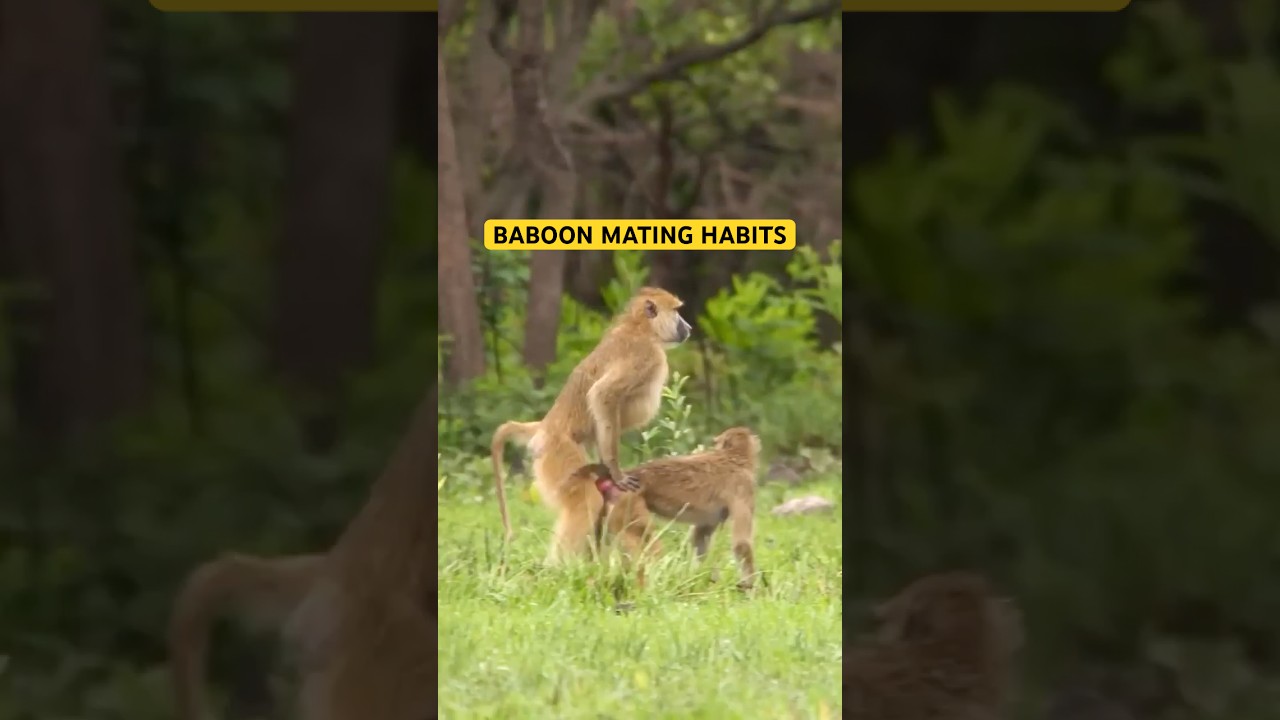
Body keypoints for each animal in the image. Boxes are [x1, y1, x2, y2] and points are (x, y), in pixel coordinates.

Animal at [491, 286, 692, 560]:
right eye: (677, 312)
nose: (688, 327)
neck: (640, 327)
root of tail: (545, 427)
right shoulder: (646, 355)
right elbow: (602, 395)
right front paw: (616, 472)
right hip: (558, 452)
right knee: (585, 497)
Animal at [576, 426, 761, 589]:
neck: (734, 457)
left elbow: (700, 537)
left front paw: (701, 578)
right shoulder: (744, 485)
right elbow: (742, 544)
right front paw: (750, 587)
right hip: (628, 501)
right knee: (646, 542)